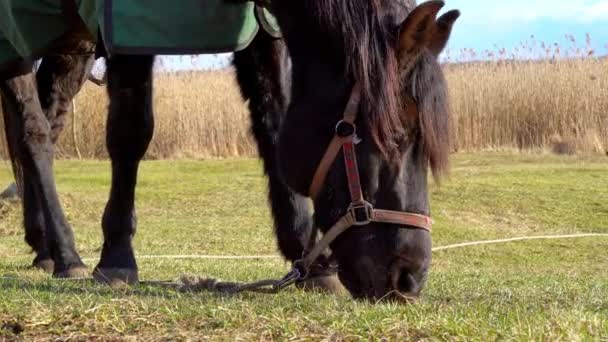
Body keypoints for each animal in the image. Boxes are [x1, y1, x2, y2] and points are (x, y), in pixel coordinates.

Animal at [0, 0, 456, 300]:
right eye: (396, 135)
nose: (409, 279)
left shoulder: (262, 32)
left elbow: (273, 122)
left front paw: (307, 258)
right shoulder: (129, 27)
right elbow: (131, 132)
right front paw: (116, 257)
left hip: (68, 39)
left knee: (46, 120)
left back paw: (44, 247)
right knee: (33, 133)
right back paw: (66, 254)